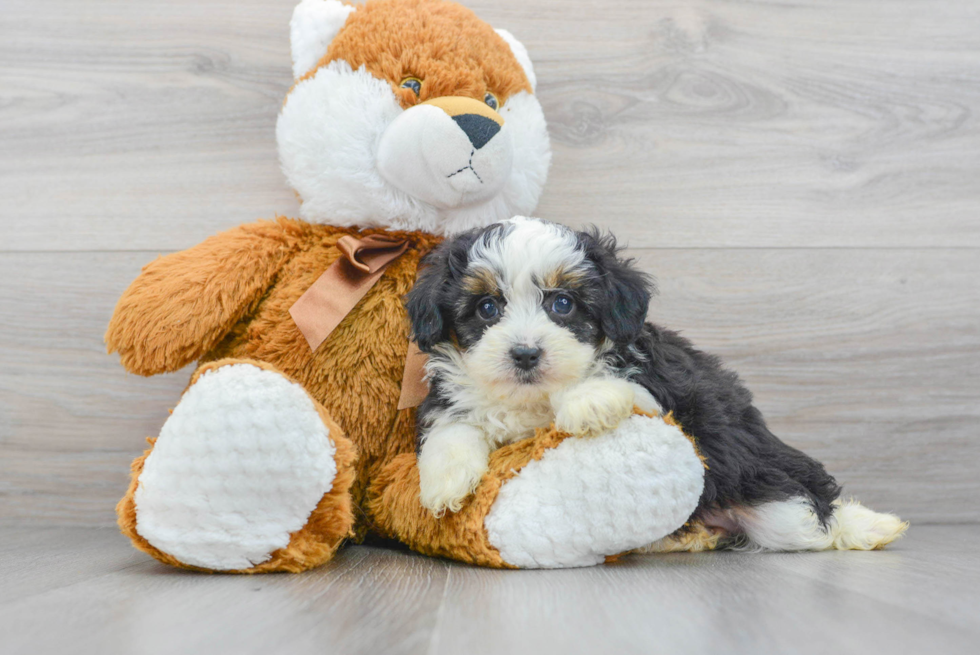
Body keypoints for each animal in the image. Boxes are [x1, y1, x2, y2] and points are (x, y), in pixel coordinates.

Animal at [402, 218, 908, 552]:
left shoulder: (659, 397)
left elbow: (610, 380)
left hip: (775, 498)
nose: (525, 354)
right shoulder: (453, 395)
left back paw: (864, 526)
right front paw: (444, 481)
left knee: (814, 523)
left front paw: (587, 401)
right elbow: (453, 423)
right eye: (487, 308)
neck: (530, 399)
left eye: (563, 304)